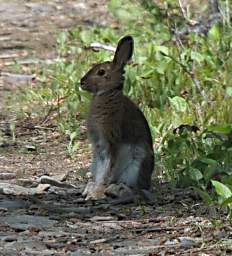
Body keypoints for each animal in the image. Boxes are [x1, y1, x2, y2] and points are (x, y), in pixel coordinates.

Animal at [80, 36, 154, 200]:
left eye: (101, 72)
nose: (81, 82)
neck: (108, 93)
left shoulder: (111, 140)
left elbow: (108, 168)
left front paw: (97, 193)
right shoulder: (98, 147)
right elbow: (101, 170)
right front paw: (93, 191)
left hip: (136, 166)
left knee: (135, 190)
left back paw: (116, 190)